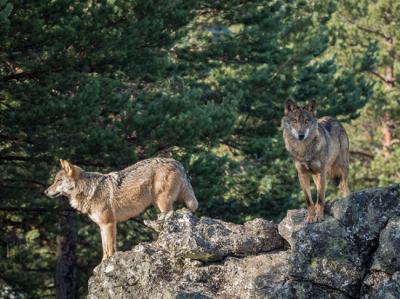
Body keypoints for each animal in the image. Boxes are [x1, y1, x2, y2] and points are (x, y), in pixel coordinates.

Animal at [45, 158, 198, 262]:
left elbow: (110, 249)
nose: (45, 191)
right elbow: (104, 249)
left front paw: (107, 265)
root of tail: (176, 162)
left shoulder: (109, 224)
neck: (89, 191)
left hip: (163, 204)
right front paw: (102, 265)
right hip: (158, 206)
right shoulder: (102, 226)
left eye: (58, 181)